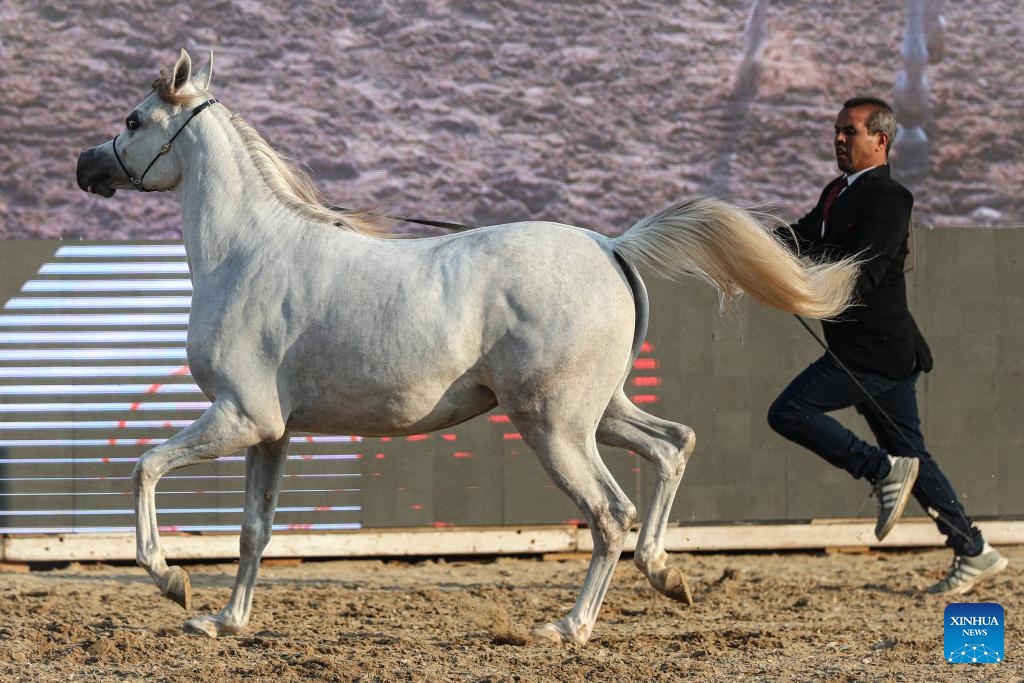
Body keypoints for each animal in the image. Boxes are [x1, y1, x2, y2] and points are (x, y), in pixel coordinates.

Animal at [74, 50, 856, 643]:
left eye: (133, 120)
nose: (86, 167)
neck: (248, 252)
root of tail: (609, 244)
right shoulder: (273, 433)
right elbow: (253, 530)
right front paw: (225, 621)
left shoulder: (239, 417)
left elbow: (146, 468)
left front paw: (172, 581)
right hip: (598, 412)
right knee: (672, 445)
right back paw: (666, 574)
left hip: (554, 426)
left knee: (609, 511)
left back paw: (568, 627)